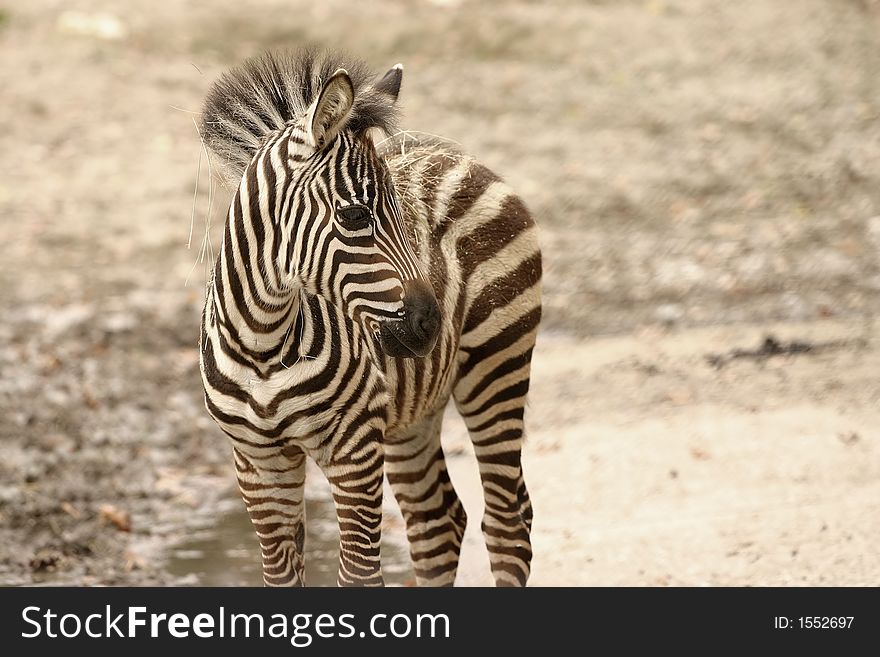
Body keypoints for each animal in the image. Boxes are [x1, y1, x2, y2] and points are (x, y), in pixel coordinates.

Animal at [199, 48, 540, 588]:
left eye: (401, 212)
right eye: (355, 217)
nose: (430, 325)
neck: (263, 344)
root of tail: (459, 156)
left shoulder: (354, 452)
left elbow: (359, 575)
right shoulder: (257, 463)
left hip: (497, 364)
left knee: (507, 521)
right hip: (412, 410)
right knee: (437, 523)